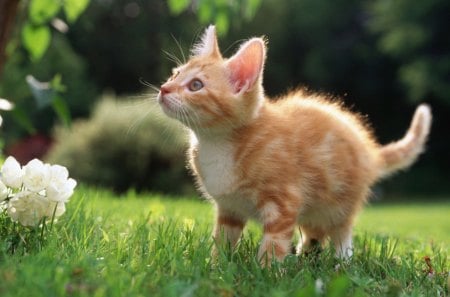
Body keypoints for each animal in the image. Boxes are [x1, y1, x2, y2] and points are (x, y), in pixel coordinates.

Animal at [157, 24, 432, 262]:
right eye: (175, 73)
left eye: (196, 85)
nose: (163, 88)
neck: (218, 142)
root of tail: (369, 151)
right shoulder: (229, 208)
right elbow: (223, 240)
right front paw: (216, 266)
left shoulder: (284, 203)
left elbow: (273, 244)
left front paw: (266, 273)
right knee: (315, 231)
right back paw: (305, 256)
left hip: (339, 202)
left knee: (341, 232)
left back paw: (341, 262)